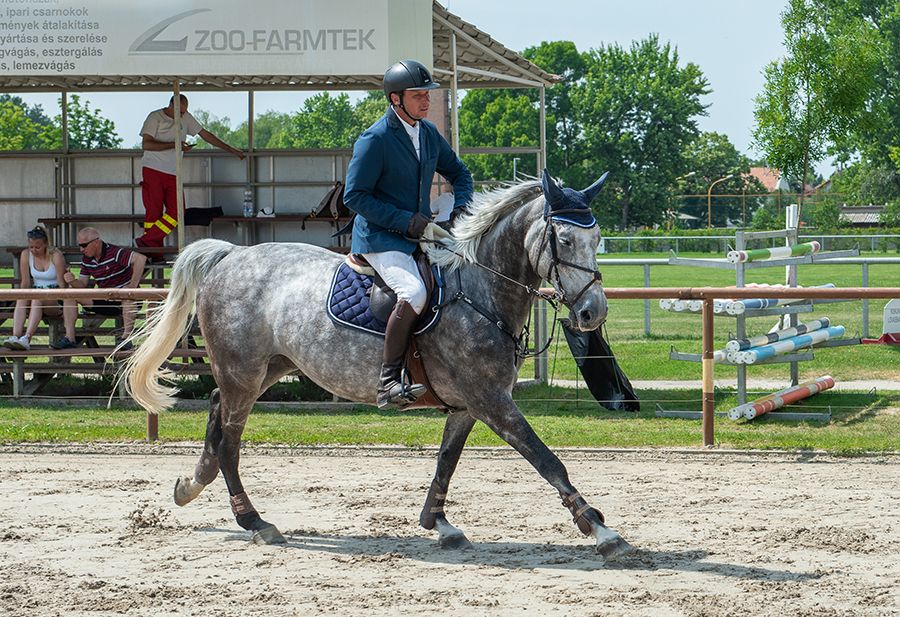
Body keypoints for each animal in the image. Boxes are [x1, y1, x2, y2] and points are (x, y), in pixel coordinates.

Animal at [125, 171, 632, 556]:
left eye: (598, 238)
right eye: (563, 238)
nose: (593, 313)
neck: (481, 290)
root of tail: (231, 255)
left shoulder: (469, 405)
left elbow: (446, 461)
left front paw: (439, 523)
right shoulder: (492, 401)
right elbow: (548, 461)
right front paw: (602, 530)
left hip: (266, 368)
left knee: (215, 409)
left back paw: (192, 485)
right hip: (244, 372)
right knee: (229, 440)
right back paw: (255, 521)